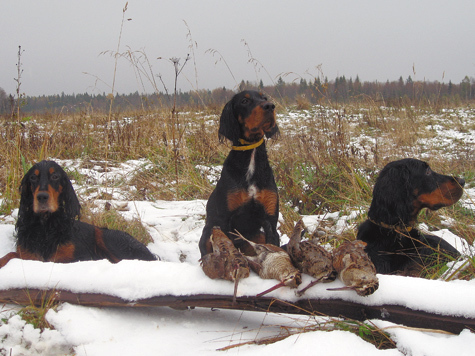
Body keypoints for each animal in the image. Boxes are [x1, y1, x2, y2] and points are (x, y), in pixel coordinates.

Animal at [0, 160, 156, 268]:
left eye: (55, 176)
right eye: (33, 177)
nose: (42, 197)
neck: (46, 225)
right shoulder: (28, 254)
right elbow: (11, 254)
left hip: (107, 237)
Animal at [199, 89, 280, 256]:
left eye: (264, 98)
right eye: (244, 101)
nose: (270, 106)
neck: (251, 160)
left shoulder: (270, 220)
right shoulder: (225, 220)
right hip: (208, 231)